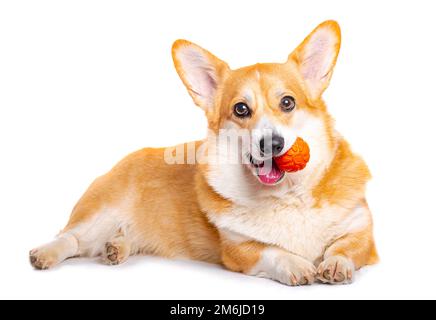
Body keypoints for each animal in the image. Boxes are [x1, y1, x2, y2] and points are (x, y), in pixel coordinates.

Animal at [30, 20, 378, 284]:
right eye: (241, 109)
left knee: (116, 239)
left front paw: (335, 265)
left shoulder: (364, 235)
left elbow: (344, 248)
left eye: (288, 102)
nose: (273, 144)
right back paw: (45, 254)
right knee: (71, 238)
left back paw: (116, 248)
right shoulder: (239, 250)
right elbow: (272, 251)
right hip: (99, 213)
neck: (285, 196)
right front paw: (295, 263)